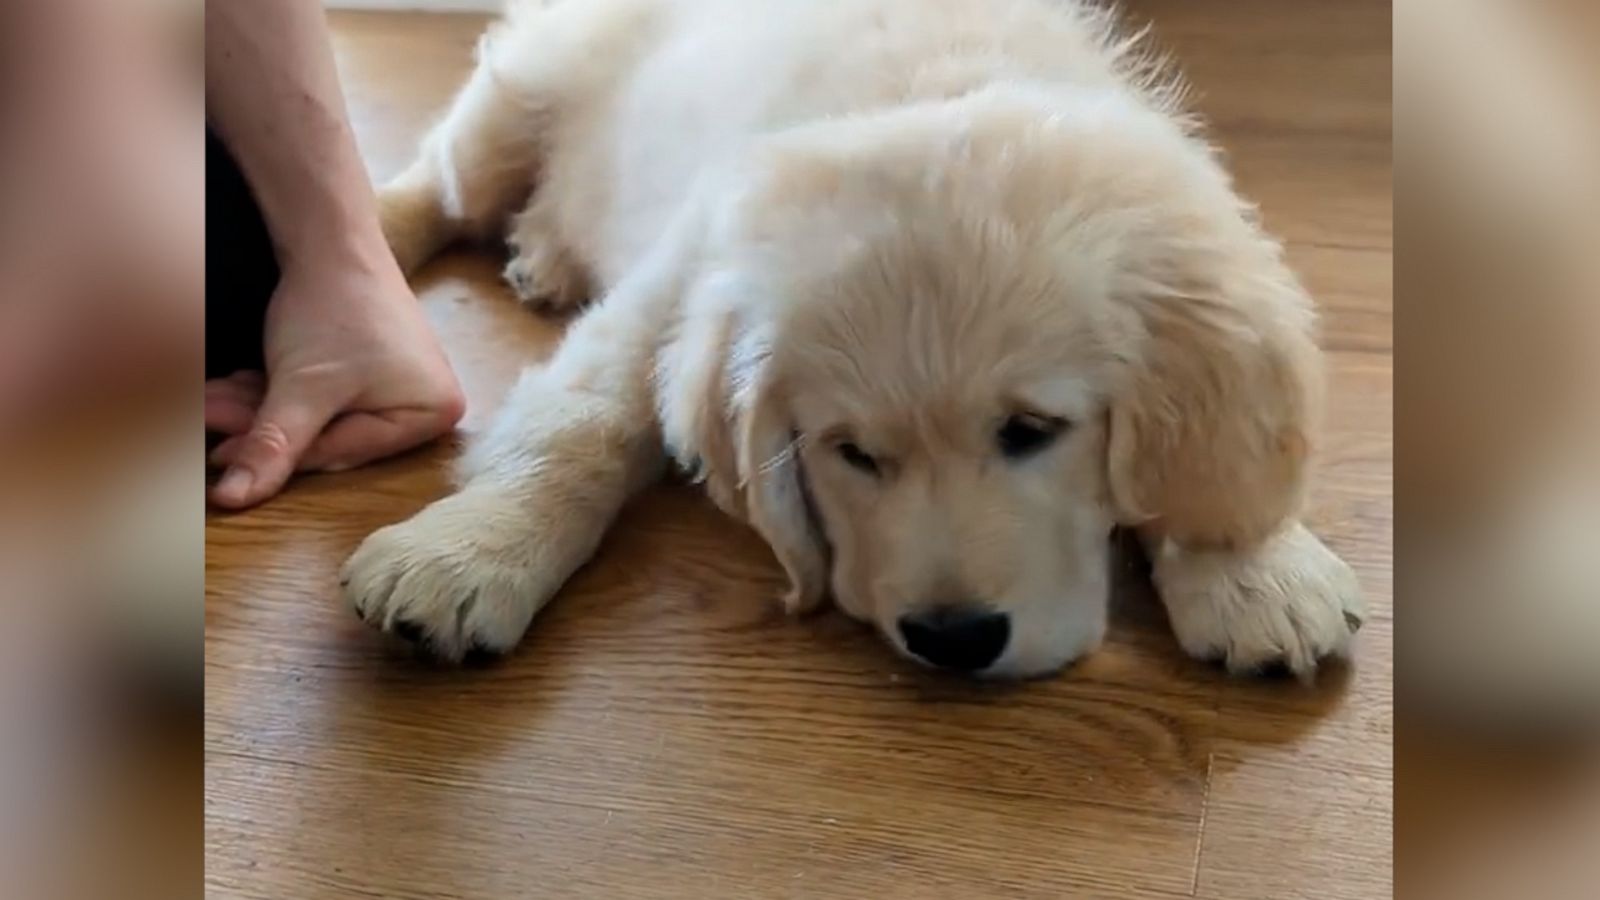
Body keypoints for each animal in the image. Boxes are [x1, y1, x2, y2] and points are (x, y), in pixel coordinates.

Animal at [340, 0, 1363, 672]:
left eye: (1033, 432)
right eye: (851, 453)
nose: (954, 639)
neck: (936, 88)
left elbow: (1222, 469)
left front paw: (1257, 570)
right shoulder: (679, 282)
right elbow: (578, 426)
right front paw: (467, 552)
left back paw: (541, 254)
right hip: (512, 105)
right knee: (437, 186)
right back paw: (383, 240)